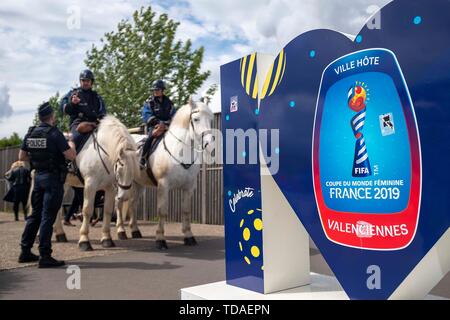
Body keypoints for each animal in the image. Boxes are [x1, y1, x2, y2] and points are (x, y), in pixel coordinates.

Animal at [51, 115, 139, 250]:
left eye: (134, 171)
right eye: (120, 169)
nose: (124, 197)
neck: (103, 153)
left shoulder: (109, 188)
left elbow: (107, 211)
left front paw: (106, 238)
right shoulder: (90, 185)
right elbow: (87, 210)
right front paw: (84, 240)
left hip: (63, 184)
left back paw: (60, 234)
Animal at [116, 99, 214, 249]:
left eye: (210, 120)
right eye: (196, 119)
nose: (209, 143)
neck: (178, 150)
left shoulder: (188, 187)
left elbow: (186, 210)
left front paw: (189, 236)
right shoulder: (163, 186)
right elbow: (162, 211)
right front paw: (160, 239)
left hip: (138, 185)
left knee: (133, 203)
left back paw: (135, 230)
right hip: (122, 183)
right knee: (119, 201)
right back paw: (121, 231)